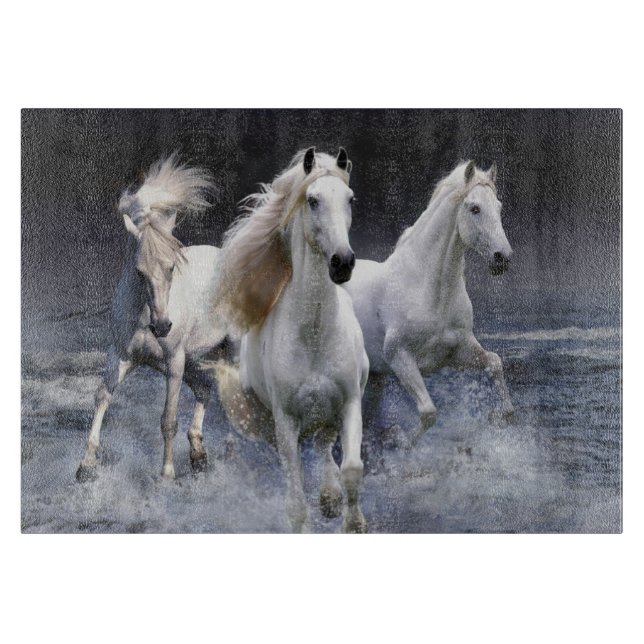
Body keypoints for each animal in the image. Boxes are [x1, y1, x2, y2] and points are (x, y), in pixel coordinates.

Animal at [76, 154, 229, 482]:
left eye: (172, 267)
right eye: (139, 271)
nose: (162, 326)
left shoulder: (173, 362)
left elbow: (168, 419)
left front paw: (167, 475)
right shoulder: (123, 356)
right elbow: (101, 396)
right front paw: (86, 467)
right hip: (191, 359)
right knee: (204, 388)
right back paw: (198, 456)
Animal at [213, 147, 369, 533]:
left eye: (350, 199)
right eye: (312, 200)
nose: (342, 262)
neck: (313, 336)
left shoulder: (349, 403)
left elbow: (352, 469)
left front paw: (353, 522)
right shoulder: (285, 420)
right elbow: (296, 500)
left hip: (327, 414)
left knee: (324, 445)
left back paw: (330, 498)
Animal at [344, 160, 514, 450]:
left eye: (499, 207)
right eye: (475, 208)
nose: (502, 258)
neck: (429, 291)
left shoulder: (458, 351)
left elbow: (494, 362)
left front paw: (502, 417)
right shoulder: (400, 358)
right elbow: (428, 412)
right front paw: (398, 438)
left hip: (373, 378)